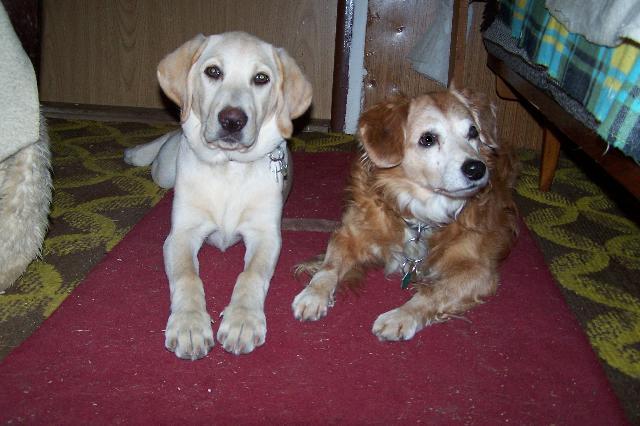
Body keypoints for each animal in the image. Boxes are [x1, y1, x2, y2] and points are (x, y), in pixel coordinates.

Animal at [123, 32, 312, 360]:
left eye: (261, 78)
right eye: (213, 71)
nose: (232, 120)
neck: (229, 167)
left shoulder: (266, 235)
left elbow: (250, 276)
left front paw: (242, 321)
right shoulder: (181, 234)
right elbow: (187, 276)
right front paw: (189, 325)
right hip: (166, 169)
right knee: (170, 139)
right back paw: (138, 152)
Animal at [292, 88, 516, 342]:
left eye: (473, 132)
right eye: (428, 139)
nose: (476, 169)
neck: (419, 215)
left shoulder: (479, 271)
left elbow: (433, 293)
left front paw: (401, 316)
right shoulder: (349, 233)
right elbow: (329, 267)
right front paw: (312, 294)